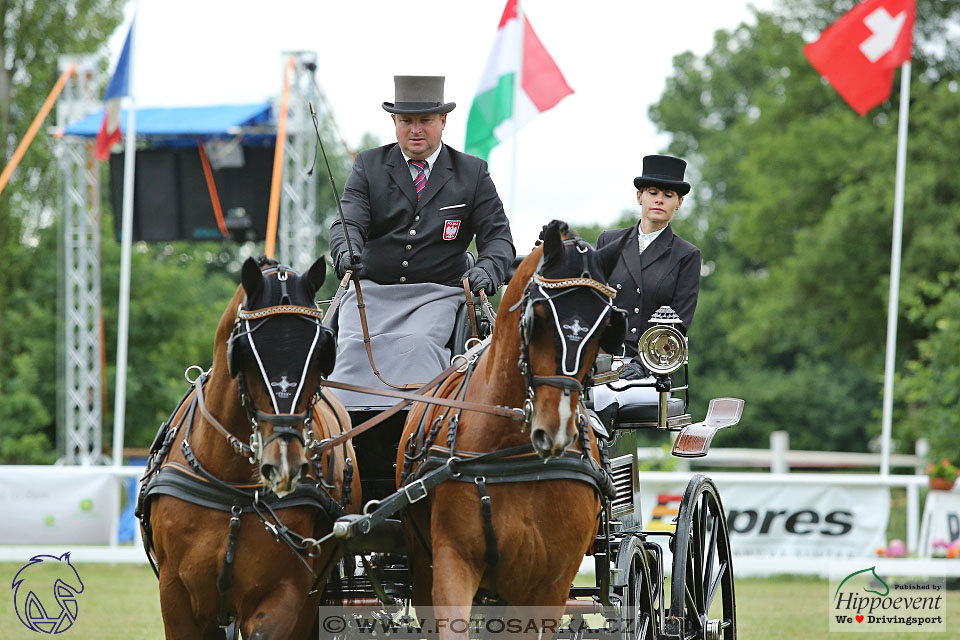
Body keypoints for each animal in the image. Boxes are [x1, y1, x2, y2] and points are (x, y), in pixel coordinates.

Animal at [137, 256, 358, 640]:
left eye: (321, 354)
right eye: (247, 353)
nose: (284, 463)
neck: (232, 487)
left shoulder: (285, 593)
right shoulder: (176, 595)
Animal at [396, 222, 628, 636]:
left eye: (606, 326)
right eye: (539, 317)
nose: (556, 429)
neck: (510, 455)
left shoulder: (550, 584)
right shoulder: (452, 561)